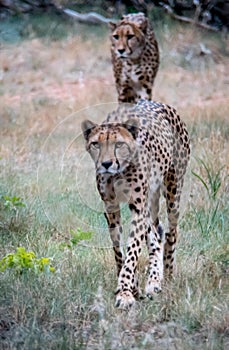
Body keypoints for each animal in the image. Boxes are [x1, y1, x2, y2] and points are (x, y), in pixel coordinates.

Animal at [81, 99, 191, 308]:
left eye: (119, 144)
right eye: (96, 144)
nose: (106, 164)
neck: (118, 173)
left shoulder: (138, 207)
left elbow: (133, 250)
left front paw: (125, 292)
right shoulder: (111, 207)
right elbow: (120, 251)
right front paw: (131, 287)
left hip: (173, 189)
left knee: (170, 233)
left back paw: (166, 276)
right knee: (155, 235)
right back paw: (153, 280)